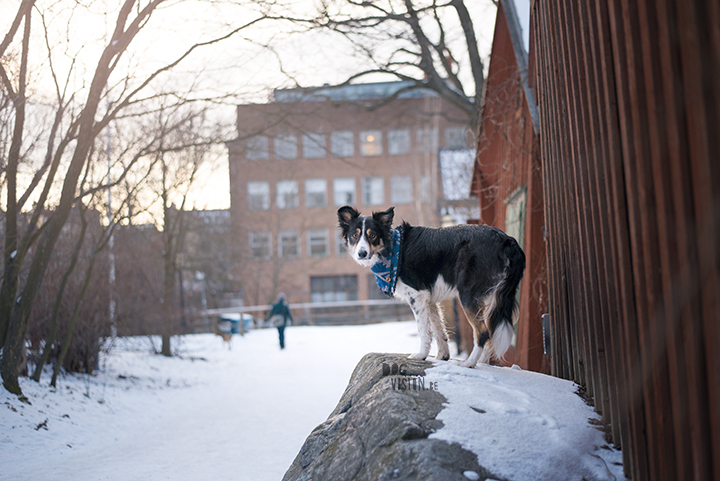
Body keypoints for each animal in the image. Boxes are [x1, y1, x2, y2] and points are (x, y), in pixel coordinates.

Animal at [338, 204, 524, 366]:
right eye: (355, 235)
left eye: (373, 235)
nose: (362, 253)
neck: (393, 249)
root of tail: (506, 240)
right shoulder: (430, 299)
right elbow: (438, 329)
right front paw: (442, 356)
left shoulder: (417, 296)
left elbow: (423, 330)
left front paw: (421, 355)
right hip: (491, 299)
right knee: (491, 330)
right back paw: (483, 363)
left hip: (468, 295)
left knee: (483, 331)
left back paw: (469, 363)